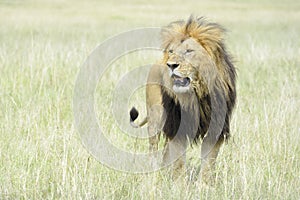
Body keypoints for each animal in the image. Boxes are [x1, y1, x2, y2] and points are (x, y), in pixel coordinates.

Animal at [130, 16, 236, 184]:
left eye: (189, 51)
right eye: (171, 51)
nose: (171, 65)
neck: (197, 94)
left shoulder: (216, 127)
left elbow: (209, 161)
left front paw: (204, 185)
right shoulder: (177, 126)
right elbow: (179, 161)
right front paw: (180, 185)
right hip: (156, 118)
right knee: (153, 148)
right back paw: (153, 175)